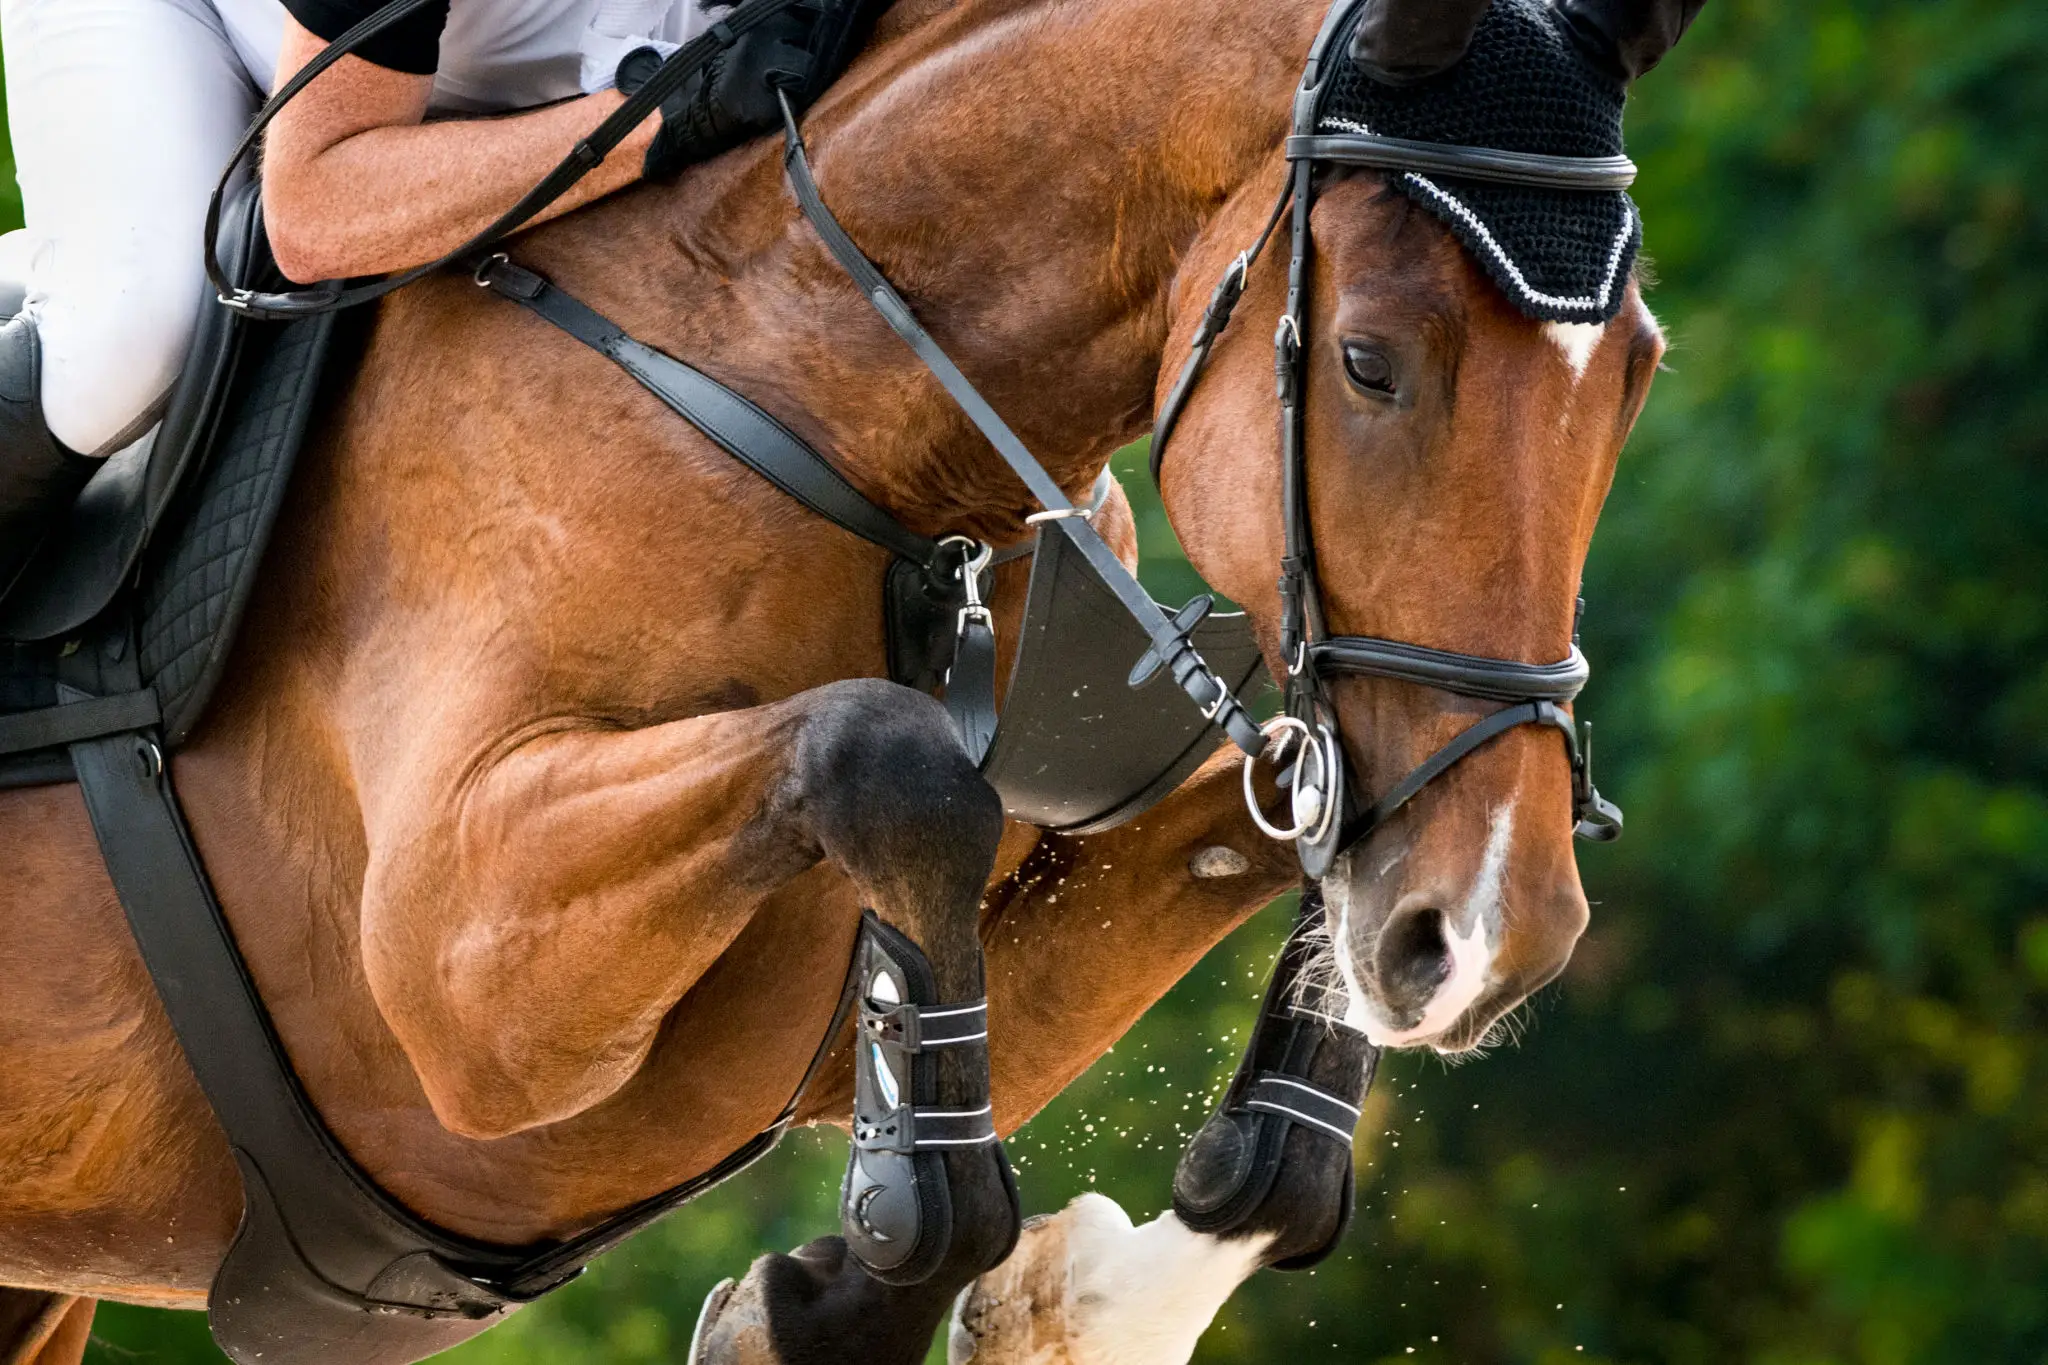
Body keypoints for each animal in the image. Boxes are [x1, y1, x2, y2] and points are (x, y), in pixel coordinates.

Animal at [0, 0, 1687, 1359]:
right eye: (1368, 362)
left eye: (1637, 375)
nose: (1494, 933)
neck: (840, 413)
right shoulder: (454, 987)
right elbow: (889, 759)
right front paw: (861, 1282)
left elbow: (1273, 886)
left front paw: (1094, 1291)